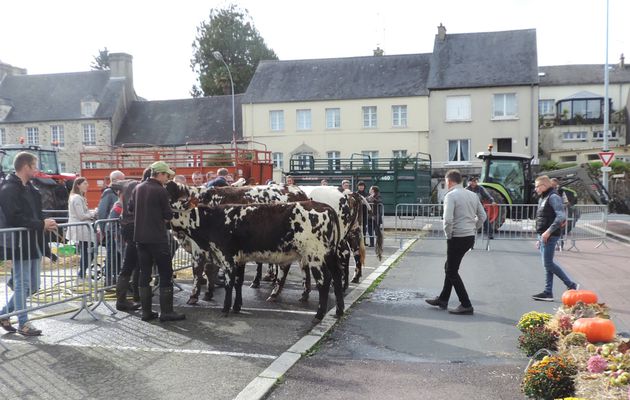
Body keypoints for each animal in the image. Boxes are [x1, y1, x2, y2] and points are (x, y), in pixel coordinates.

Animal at [168, 197, 346, 322]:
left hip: (316, 255)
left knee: (324, 281)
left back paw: (319, 315)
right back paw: (339, 310)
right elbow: (238, 283)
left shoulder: (228, 257)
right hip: (330, 254)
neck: (213, 222)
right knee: (337, 276)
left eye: (174, 210)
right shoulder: (239, 259)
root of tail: (324, 206)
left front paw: (225, 309)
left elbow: (229, 284)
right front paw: (237, 306)